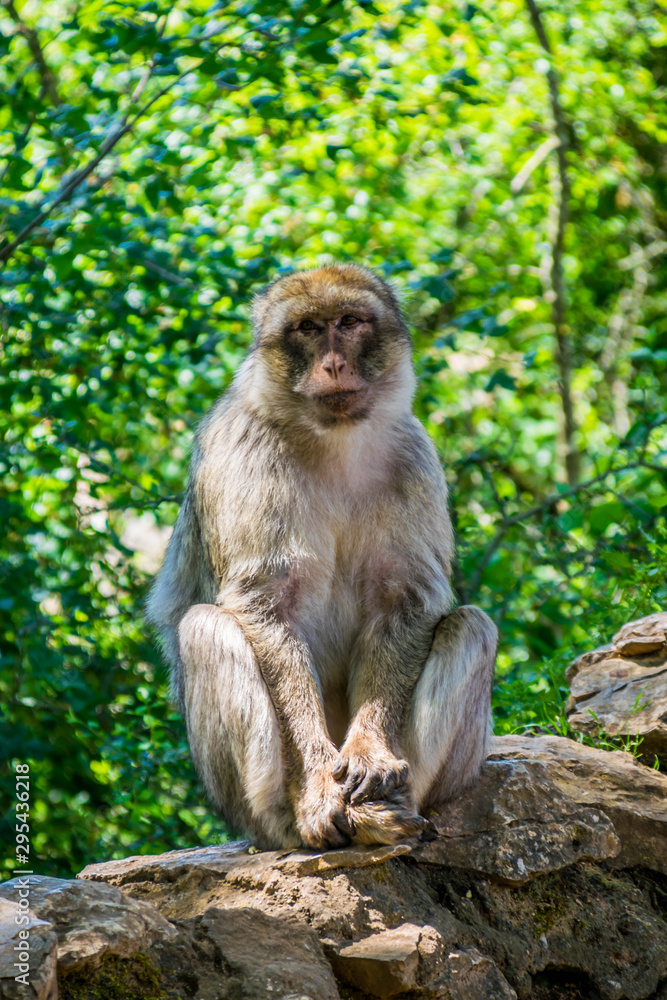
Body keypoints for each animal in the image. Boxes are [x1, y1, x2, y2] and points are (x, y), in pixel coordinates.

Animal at [147, 262, 500, 848]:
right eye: (309, 329)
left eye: (349, 322)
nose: (333, 363)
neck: (331, 440)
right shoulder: (242, 450)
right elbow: (266, 605)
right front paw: (316, 784)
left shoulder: (415, 455)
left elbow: (403, 599)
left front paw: (369, 753)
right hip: (245, 810)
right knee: (204, 628)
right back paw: (307, 817)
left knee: (472, 625)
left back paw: (388, 810)